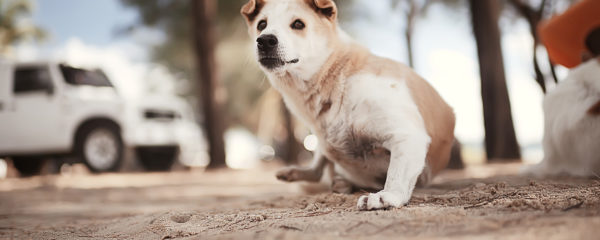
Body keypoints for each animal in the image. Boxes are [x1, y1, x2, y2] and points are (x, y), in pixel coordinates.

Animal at [240, 0, 454, 210]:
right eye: (261, 24)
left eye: (298, 24)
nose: (265, 40)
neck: (337, 78)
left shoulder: (407, 135)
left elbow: (396, 174)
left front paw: (387, 196)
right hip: (323, 144)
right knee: (317, 170)